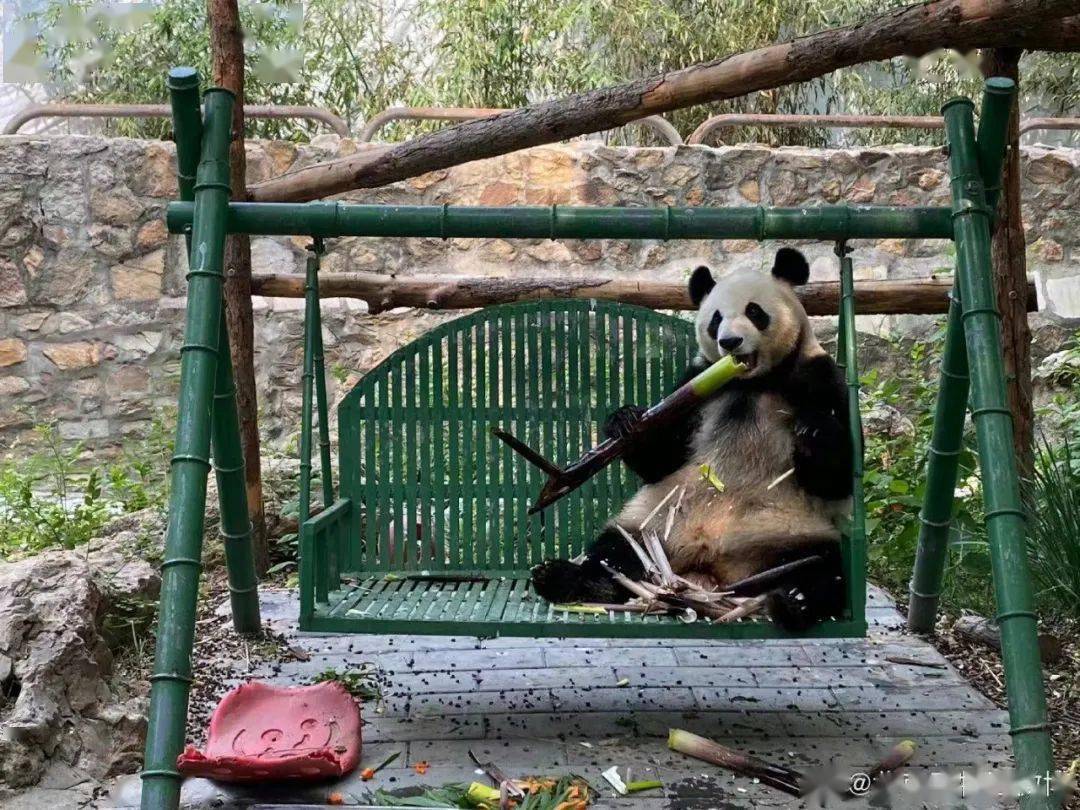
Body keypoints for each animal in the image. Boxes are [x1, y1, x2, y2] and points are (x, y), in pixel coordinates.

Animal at [529, 247, 851, 635]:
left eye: (754, 312)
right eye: (716, 319)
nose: (729, 342)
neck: (752, 383)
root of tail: (710, 570)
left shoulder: (819, 378)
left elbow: (835, 480)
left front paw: (815, 431)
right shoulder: (695, 383)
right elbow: (662, 460)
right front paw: (626, 422)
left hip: (790, 532)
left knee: (823, 568)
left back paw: (794, 600)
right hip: (653, 525)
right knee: (615, 549)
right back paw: (569, 578)